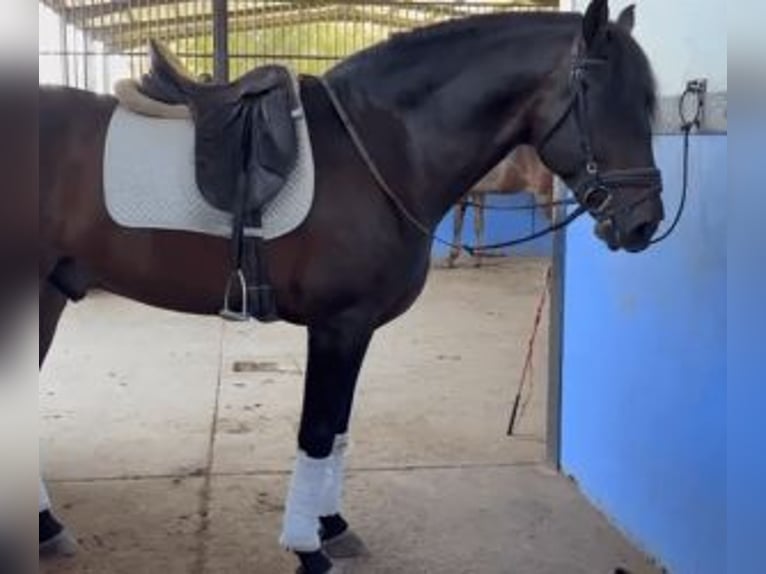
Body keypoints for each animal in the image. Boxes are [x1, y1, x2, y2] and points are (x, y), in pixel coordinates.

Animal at [35, 1, 664, 571]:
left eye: (647, 102)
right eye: (600, 97)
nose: (643, 223)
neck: (383, 147)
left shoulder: (357, 329)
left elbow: (337, 431)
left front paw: (331, 526)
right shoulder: (337, 326)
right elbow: (317, 431)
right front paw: (308, 550)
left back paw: (46, 526)